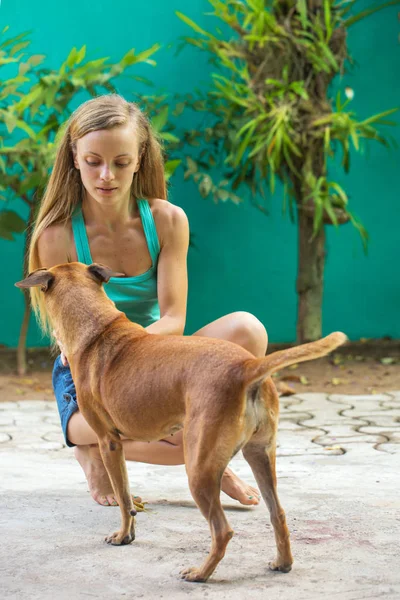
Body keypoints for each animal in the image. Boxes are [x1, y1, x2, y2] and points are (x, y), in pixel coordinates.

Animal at [16, 262, 346, 580]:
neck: (97, 328)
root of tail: (247, 365)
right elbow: (128, 498)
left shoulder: (109, 441)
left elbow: (123, 499)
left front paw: (123, 536)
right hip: (260, 454)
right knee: (277, 512)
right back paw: (283, 562)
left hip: (198, 466)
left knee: (222, 530)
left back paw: (201, 574)